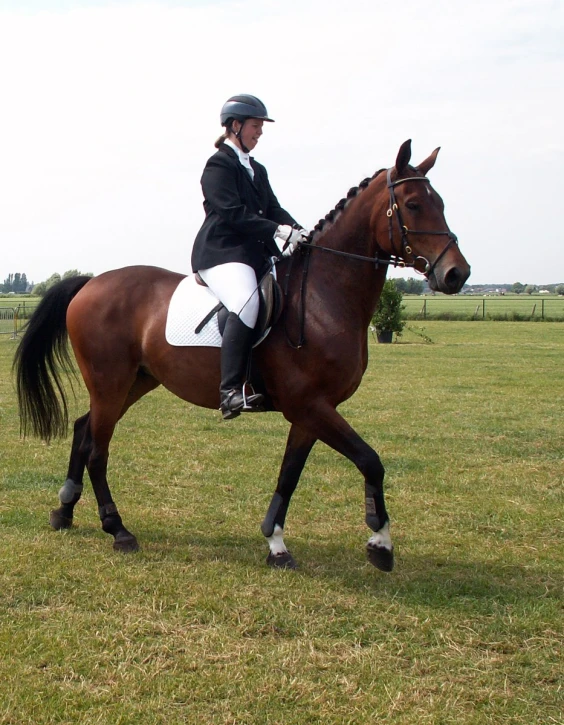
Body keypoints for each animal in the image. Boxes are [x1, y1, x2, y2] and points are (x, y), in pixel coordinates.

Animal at [14, 140, 472, 572]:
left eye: (441, 203)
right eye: (413, 205)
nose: (457, 273)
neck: (323, 296)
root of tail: (90, 284)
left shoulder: (310, 413)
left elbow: (290, 475)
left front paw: (276, 544)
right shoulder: (311, 406)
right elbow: (370, 461)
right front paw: (380, 544)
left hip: (134, 382)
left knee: (83, 430)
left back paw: (64, 511)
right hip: (111, 384)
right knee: (98, 449)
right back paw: (117, 529)